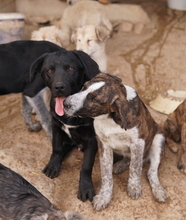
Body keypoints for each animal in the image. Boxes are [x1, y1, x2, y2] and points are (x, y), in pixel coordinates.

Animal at [30, 50, 100, 202]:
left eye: (71, 69)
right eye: (49, 70)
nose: (59, 87)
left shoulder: (92, 139)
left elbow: (86, 166)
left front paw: (85, 187)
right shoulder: (56, 126)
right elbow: (56, 148)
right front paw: (53, 165)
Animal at [63, 73, 166, 211]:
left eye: (94, 99)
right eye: (83, 87)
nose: (65, 103)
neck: (110, 119)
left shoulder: (138, 143)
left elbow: (135, 168)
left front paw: (134, 187)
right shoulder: (103, 144)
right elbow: (106, 175)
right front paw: (104, 197)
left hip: (158, 140)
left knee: (151, 172)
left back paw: (158, 190)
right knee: (129, 158)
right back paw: (120, 165)